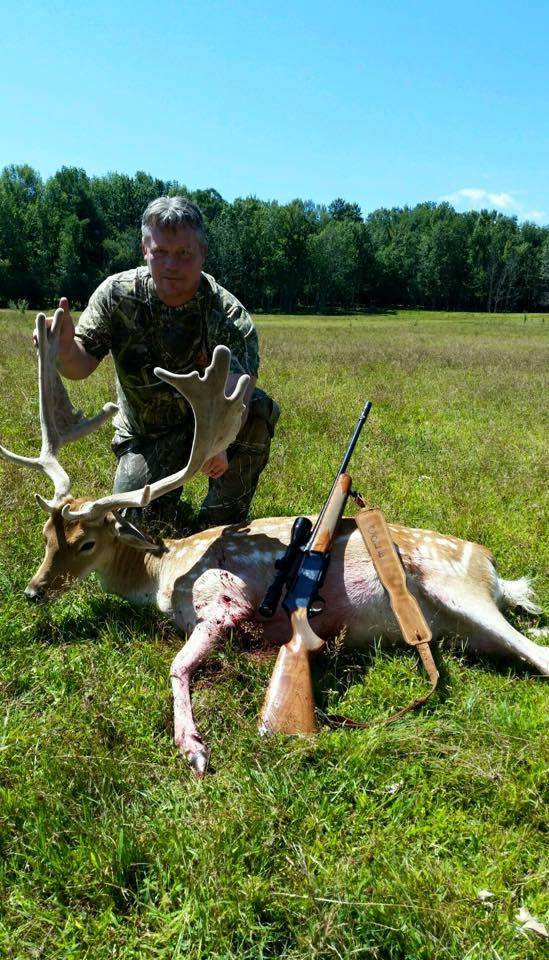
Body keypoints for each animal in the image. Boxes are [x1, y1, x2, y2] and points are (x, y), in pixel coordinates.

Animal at [2, 312, 544, 776]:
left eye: (87, 543)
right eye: (47, 535)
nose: (33, 590)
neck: (160, 575)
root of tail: (495, 569)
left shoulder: (222, 598)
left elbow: (177, 666)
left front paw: (193, 749)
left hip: (458, 586)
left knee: (537, 651)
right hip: (461, 629)